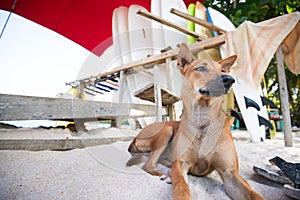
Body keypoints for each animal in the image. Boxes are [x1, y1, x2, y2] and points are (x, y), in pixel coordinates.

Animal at [127, 43, 264, 200]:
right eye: (201, 68)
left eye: (223, 70)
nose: (229, 79)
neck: (202, 117)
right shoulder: (181, 164)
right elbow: (181, 187)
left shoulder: (230, 173)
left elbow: (254, 194)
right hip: (167, 130)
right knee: (148, 165)